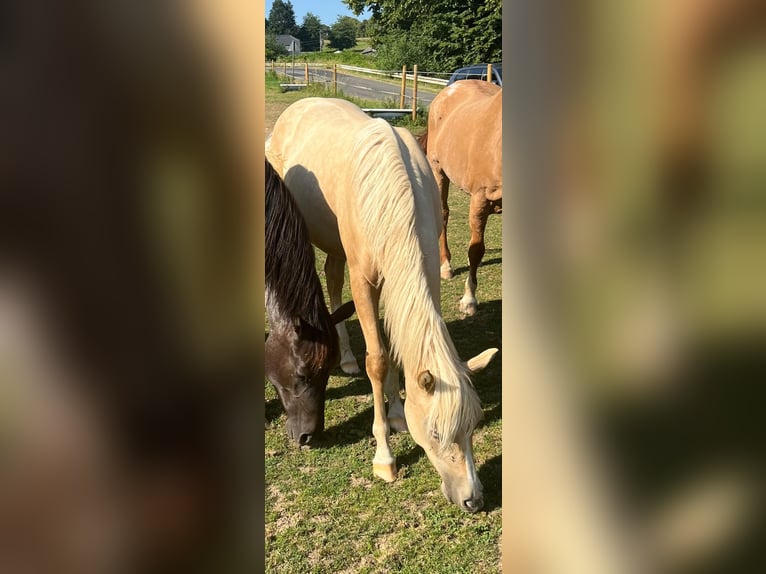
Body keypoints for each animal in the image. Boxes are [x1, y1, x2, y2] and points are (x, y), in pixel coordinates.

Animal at [418, 80, 502, 316]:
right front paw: (469, 300)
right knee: (443, 214)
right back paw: (446, 266)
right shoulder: (480, 199)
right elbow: (476, 250)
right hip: (438, 170)